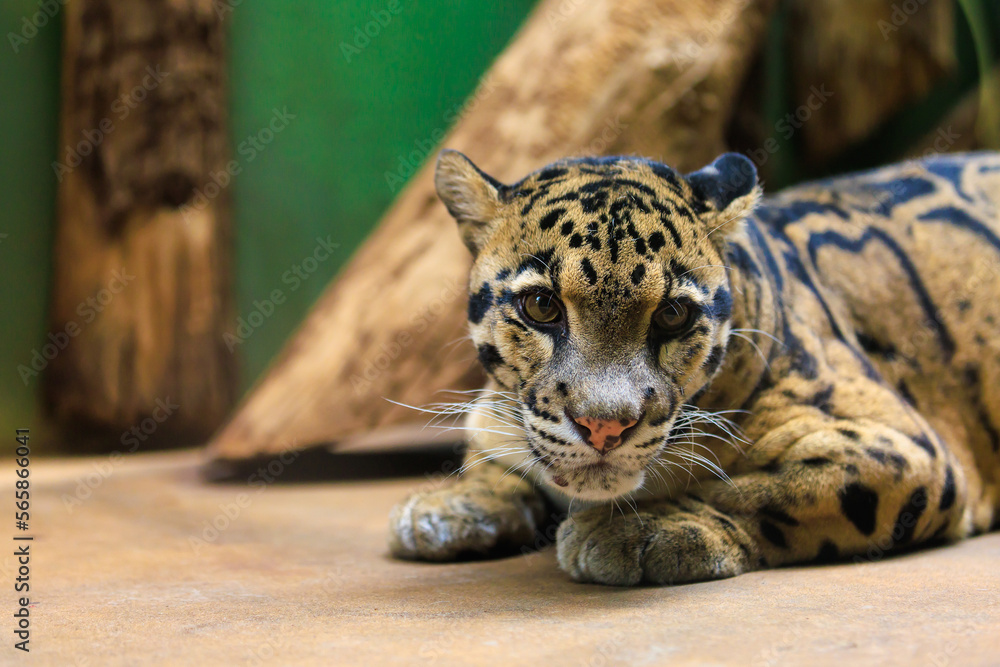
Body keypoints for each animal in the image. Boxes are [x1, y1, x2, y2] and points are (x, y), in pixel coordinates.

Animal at [388, 147, 1000, 586]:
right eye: (541, 305)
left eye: (674, 315)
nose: (604, 427)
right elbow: (495, 458)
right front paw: (448, 506)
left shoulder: (903, 447)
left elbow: (762, 489)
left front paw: (644, 529)